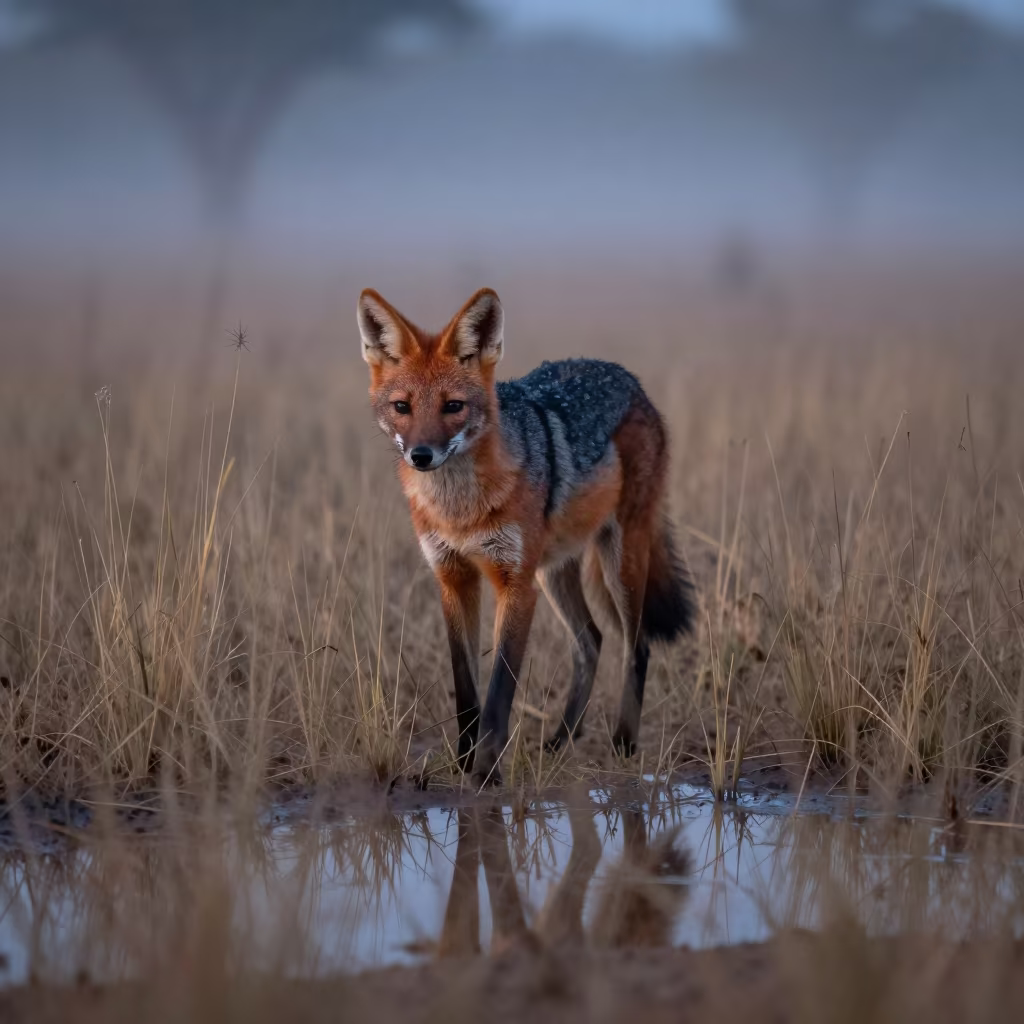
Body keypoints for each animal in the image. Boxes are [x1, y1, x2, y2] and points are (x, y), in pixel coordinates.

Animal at [358, 286, 694, 783]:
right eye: (402, 407)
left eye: (453, 406)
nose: (421, 455)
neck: (460, 511)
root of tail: (628, 378)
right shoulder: (453, 579)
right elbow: (466, 691)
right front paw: (463, 763)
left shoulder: (514, 584)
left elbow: (500, 693)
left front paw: (486, 774)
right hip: (553, 572)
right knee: (591, 641)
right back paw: (559, 742)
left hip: (619, 563)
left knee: (638, 646)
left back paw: (623, 744)